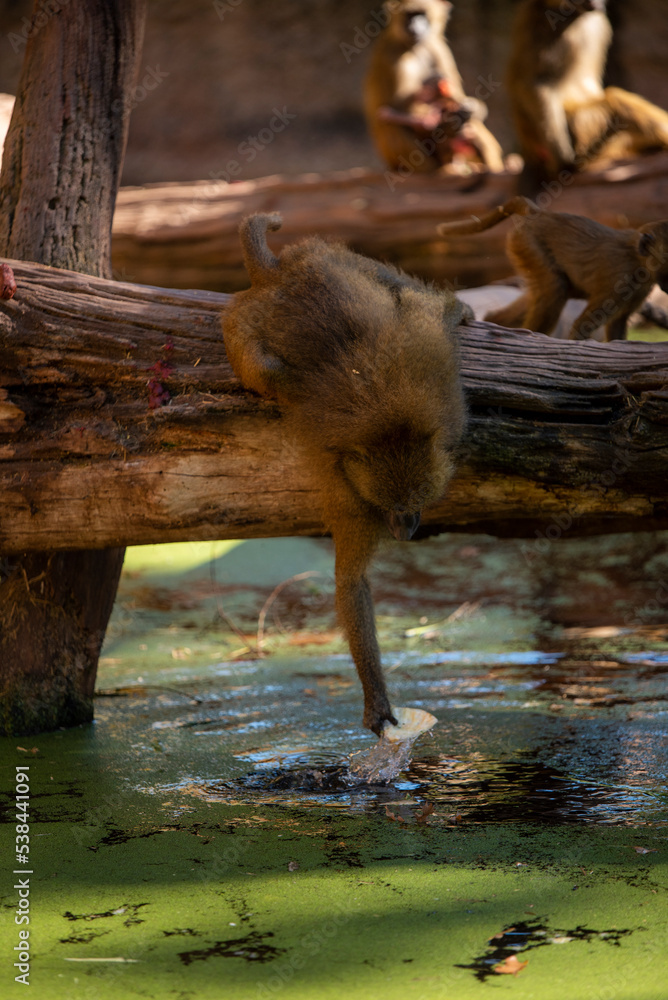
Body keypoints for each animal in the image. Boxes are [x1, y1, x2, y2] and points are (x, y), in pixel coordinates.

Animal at [223, 214, 468, 735]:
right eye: (391, 508)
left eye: (414, 506)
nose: (405, 529)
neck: (392, 429)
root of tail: (278, 275)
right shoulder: (352, 492)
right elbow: (351, 583)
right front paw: (377, 700)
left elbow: (421, 312)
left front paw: (452, 310)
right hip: (243, 323)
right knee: (268, 368)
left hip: (322, 258)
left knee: (390, 284)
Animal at [364, 0, 505, 174]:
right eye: (410, 15)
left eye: (421, 15)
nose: (414, 26)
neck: (415, 48)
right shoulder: (391, 56)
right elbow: (400, 106)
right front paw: (448, 120)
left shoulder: (438, 49)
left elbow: (456, 97)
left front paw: (470, 110)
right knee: (389, 120)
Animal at [438, 196, 668, 341]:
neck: (638, 259)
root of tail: (539, 213)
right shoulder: (619, 280)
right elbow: (582, 325)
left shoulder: (639, 288)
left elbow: (618, 324)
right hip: (529, 245)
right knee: (555, 289)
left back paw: (495, 322)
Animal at [507, 0, 668, 193]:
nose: (597, 4)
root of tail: (529, 151)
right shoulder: (544, 25)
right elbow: (538, 81)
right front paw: (563, 159)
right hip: (581, 130)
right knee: (616, 101)